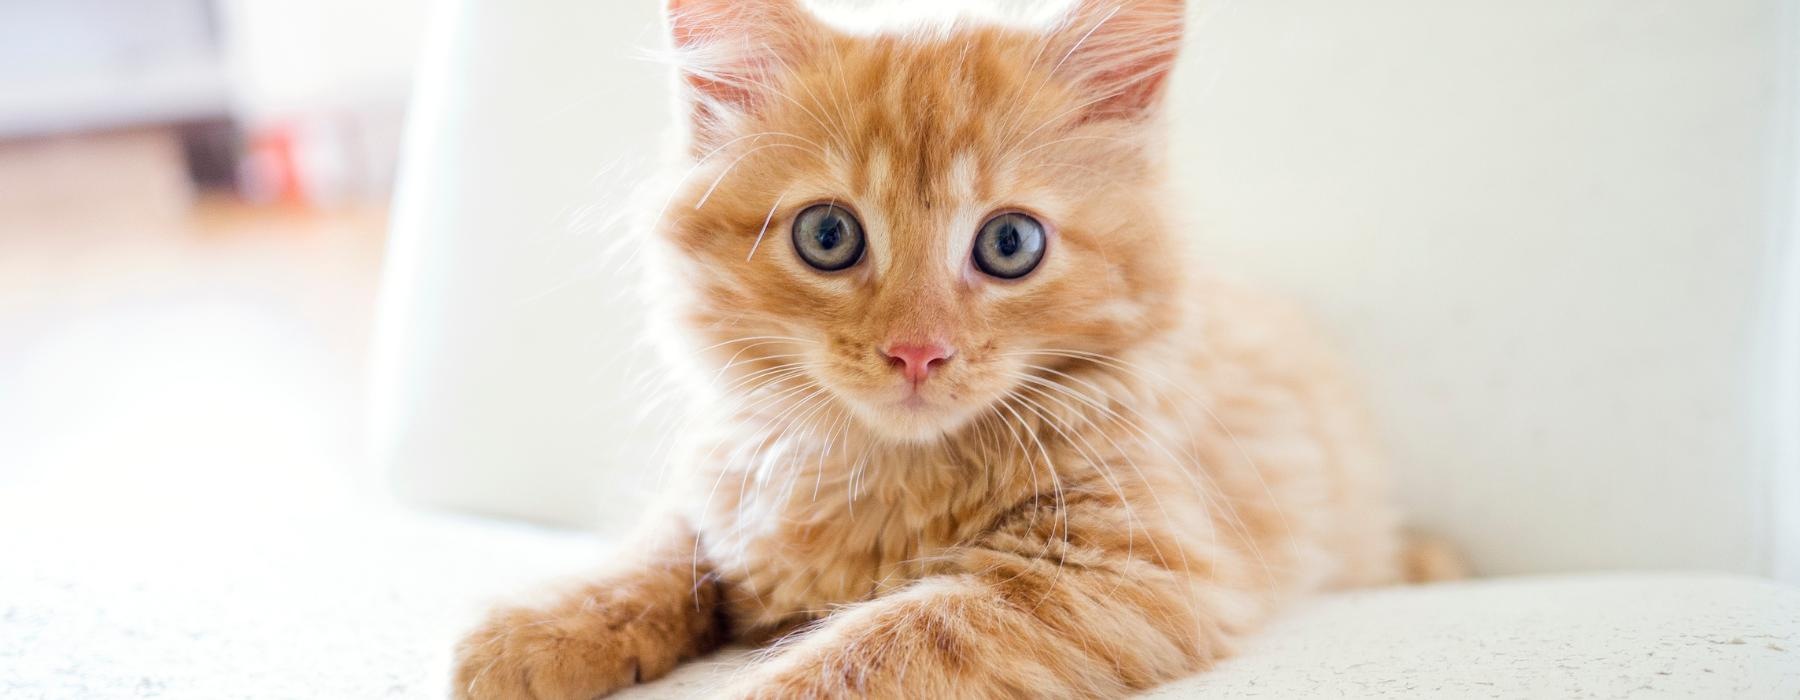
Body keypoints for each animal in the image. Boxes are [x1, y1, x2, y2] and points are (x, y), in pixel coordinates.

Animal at [457, 0, 1454, 694]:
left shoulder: (1131, 569)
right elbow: (664, 549)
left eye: (1009, 244)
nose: (917, 353)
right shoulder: (727, 480)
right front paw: (542, 628)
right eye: (828, 236)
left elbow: (890, 635)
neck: (888, 477)